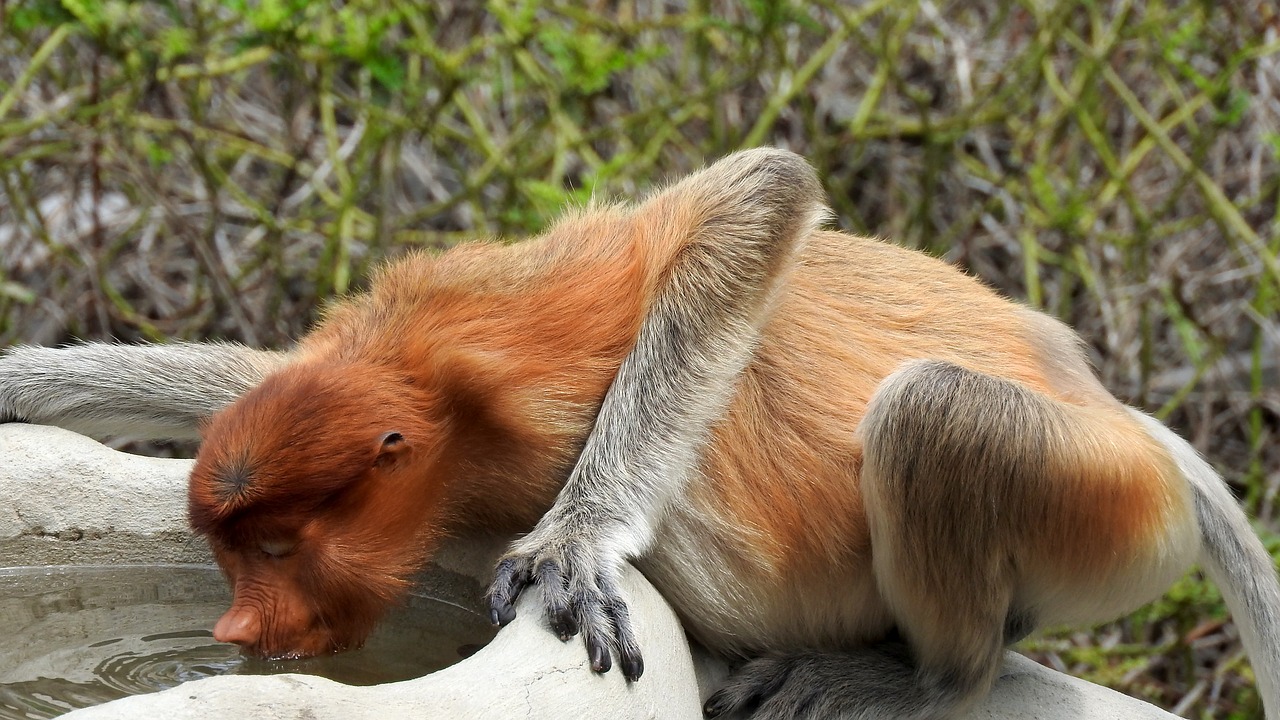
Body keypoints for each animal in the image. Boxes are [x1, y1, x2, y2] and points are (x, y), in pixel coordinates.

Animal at [2, 148, 1280, 712]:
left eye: (273, 551)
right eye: (225, 554)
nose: (235, 626)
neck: (456, 449)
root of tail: (1127, 424)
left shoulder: (520, 346)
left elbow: (755, 194)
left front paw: (575, 545)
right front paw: (28, 381)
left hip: (1107, 503)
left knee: (935, 410)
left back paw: (921, 679)